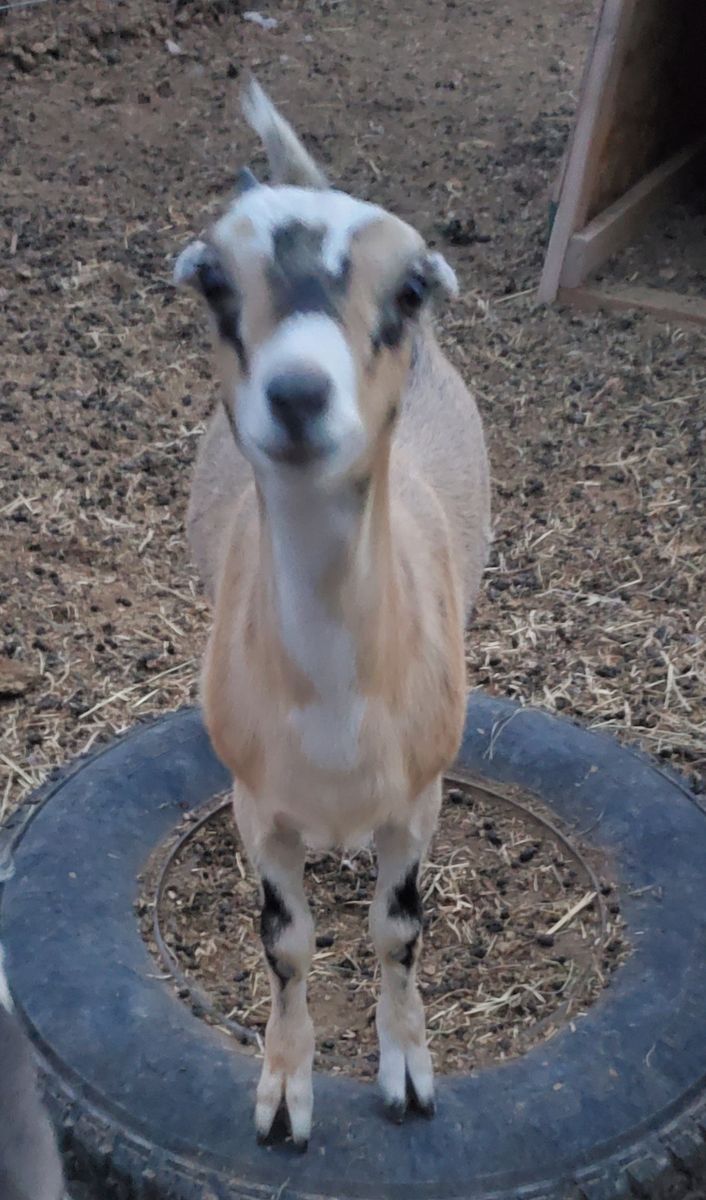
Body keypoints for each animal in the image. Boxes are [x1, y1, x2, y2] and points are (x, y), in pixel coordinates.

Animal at [175, 80, 491, 1149]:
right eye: (213, 281)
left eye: (411, 289)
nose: (300, 394)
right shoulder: (257, 810)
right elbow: (287, 944)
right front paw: (284, 1097)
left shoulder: (418, 800)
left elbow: (398, 929)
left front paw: (408, 1074)